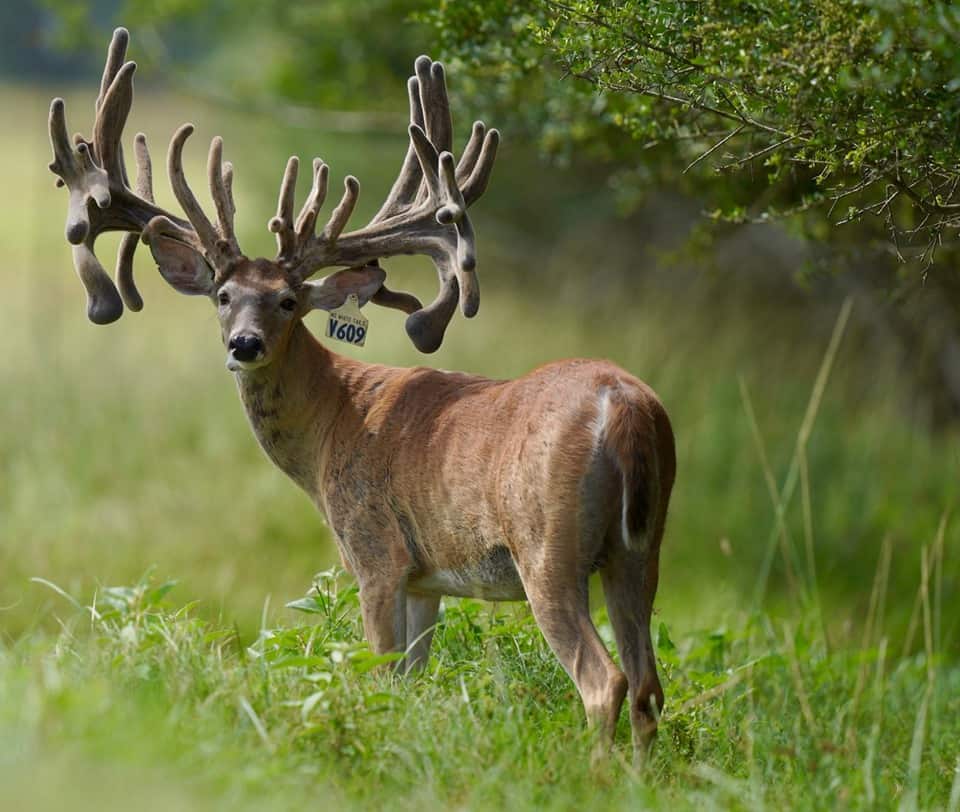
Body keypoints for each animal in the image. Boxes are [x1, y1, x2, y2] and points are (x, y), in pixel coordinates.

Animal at [47, 28, 676, 758]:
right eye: (223, 296)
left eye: (288, 301)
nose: (244, 345)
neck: (332, 422)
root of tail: (624, 405)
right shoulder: (428, 576)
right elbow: (412, 681)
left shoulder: (375, 548)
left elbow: (379, 675)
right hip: (642, 547)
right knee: (649, 684)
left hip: (548, 545)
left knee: (604, 681)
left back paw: (594, 772)